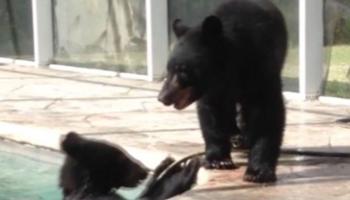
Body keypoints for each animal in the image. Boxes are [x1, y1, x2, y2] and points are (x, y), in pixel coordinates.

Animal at [159, 0, 288, 183]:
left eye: (183, 70)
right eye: (169, 69)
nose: (163, 97)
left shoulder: (262, 67)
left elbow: (267, 113)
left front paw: (258, 171)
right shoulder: (212, 89)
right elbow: (211, 113)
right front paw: (218, 160)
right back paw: (235, 136)